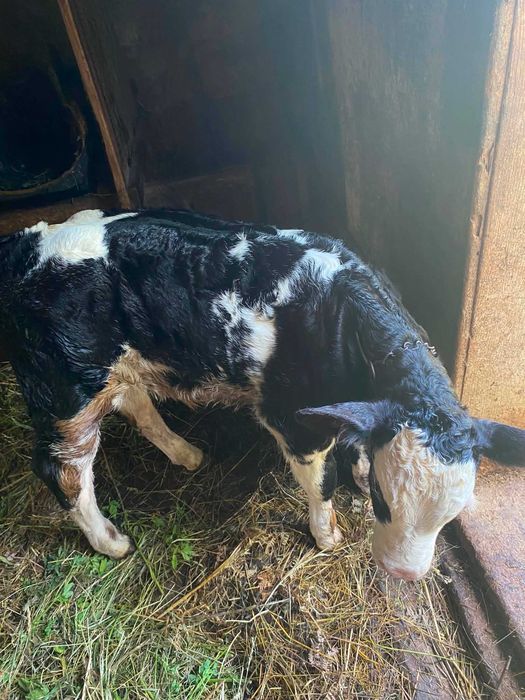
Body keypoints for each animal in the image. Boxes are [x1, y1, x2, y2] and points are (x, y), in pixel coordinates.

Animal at [0, 208, 524, 580]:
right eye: (382, 498)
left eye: (453, 515)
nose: (403, 573)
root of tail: (22, 247)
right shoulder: (291, 418)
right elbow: (321, 482)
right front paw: (327, 534)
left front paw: (356, 471)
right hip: (63, 388)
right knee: (63, 470)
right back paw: (111, 542)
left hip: (114, 369)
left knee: (136, 405)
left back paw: (186, 454)